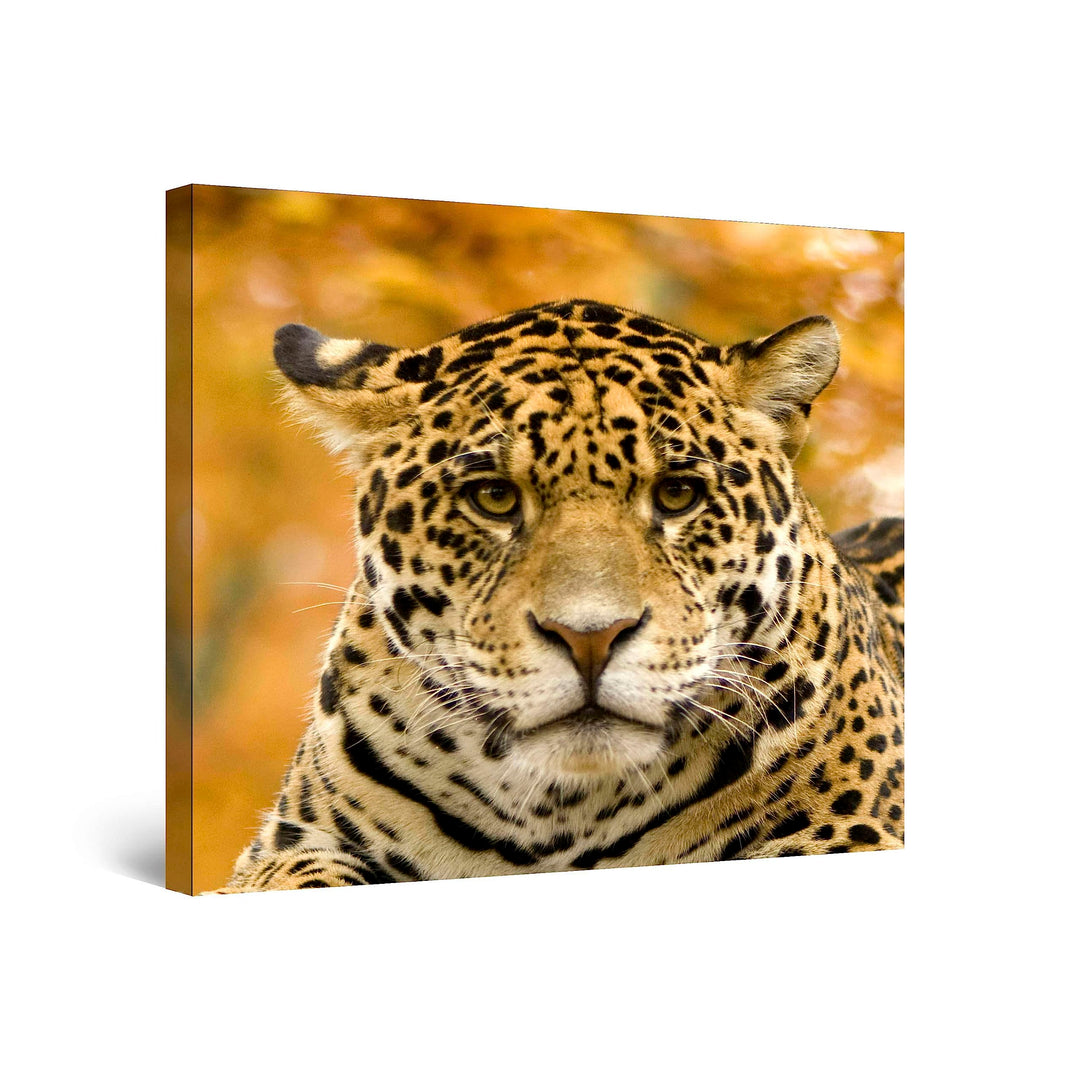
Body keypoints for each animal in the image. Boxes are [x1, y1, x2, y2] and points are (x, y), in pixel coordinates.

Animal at [214, 299, 904, 892]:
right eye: (493, 497)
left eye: (678, 494)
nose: (589, 638)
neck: (561, 812)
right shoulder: (285, 847)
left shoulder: (854, 833)